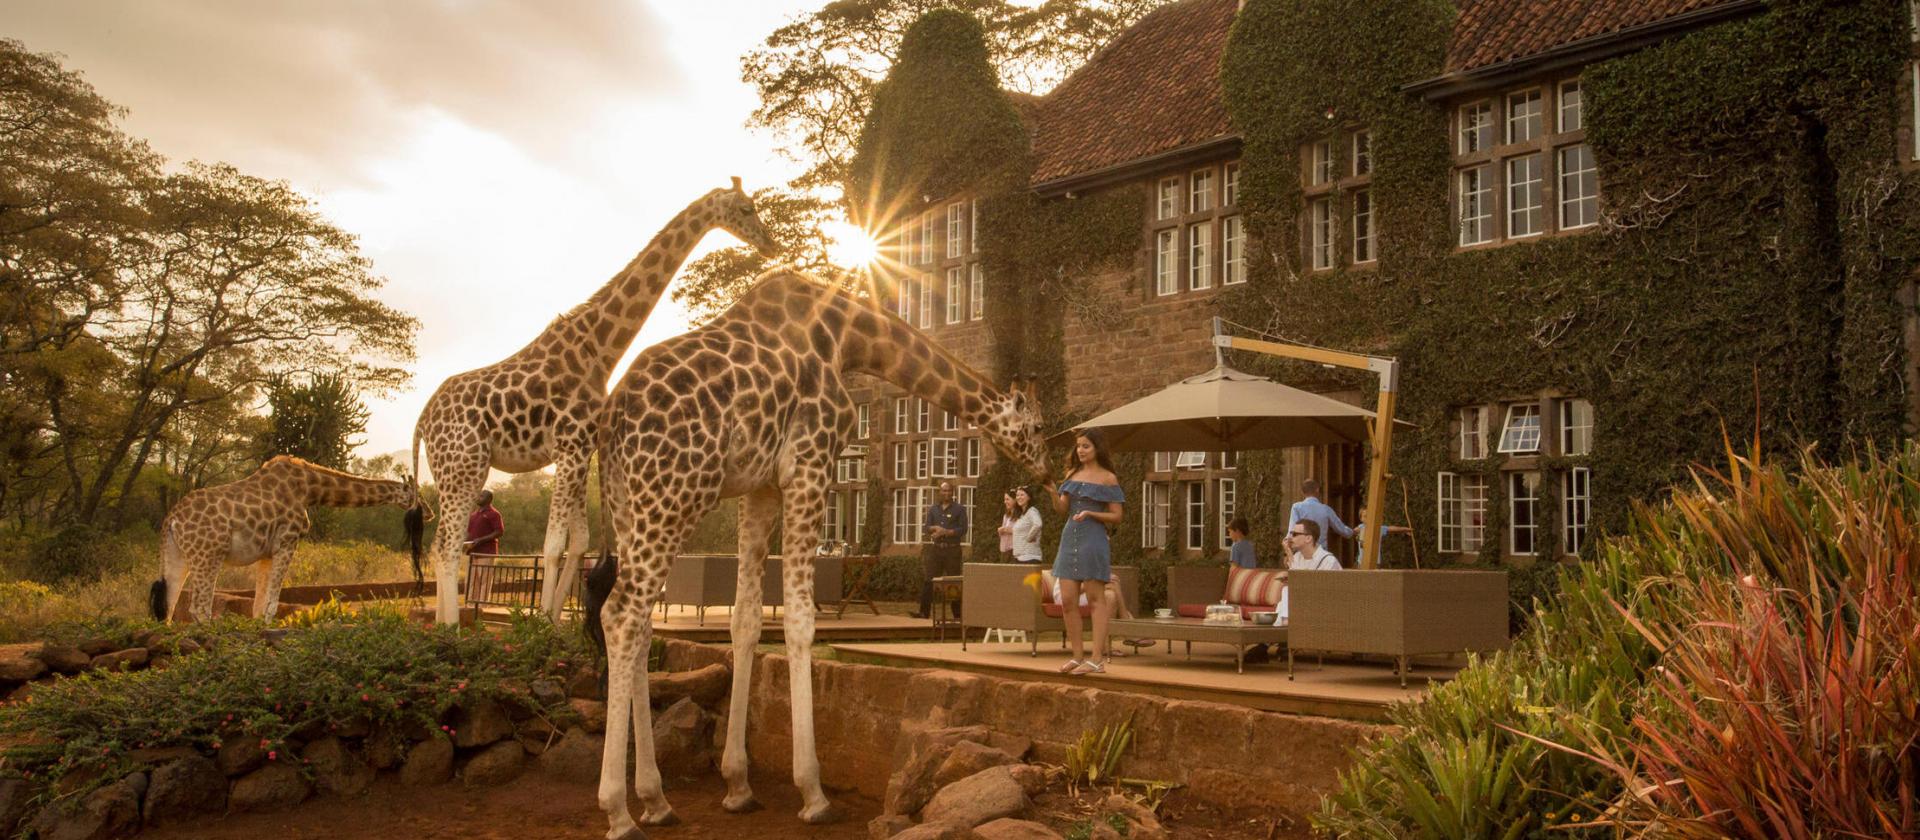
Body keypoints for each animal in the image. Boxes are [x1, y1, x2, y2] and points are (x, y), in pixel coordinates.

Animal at [149, 456, 422, 623]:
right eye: (417, 497)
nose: (428, 512)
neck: (312, 489)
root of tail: (171, 520)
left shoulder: (267, 552)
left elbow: (259, 604)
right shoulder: (288, 541)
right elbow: (272, 602)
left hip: (177, 556)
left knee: (169, 606)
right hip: (208, 555)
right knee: (199, 607)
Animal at [411, 180, 779, 624]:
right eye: (746, 208)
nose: (771, 245)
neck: (598, 350)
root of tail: (422, 420)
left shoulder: (580, 448)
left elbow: (578, 542)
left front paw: (554, 621)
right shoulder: (569, 446)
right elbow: (553, 545)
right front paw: (539, 623)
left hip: (459, 468)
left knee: (441, 543)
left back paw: (442, 624)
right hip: (463, 464)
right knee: (447, 545)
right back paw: (451, 628)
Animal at [593, 269, 1052, 837]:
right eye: (1037, 427)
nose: (1049, 472)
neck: (848, 338)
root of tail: (612, 417)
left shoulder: (761, 486)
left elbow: (746, 620)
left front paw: (738, 785)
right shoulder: (809, 465)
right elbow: (799, 620)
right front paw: (812, 792)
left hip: (628, 505)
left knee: (639, 623)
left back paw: (656, 799)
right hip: (676, 493)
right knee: (621, 615)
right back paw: (618, 810)